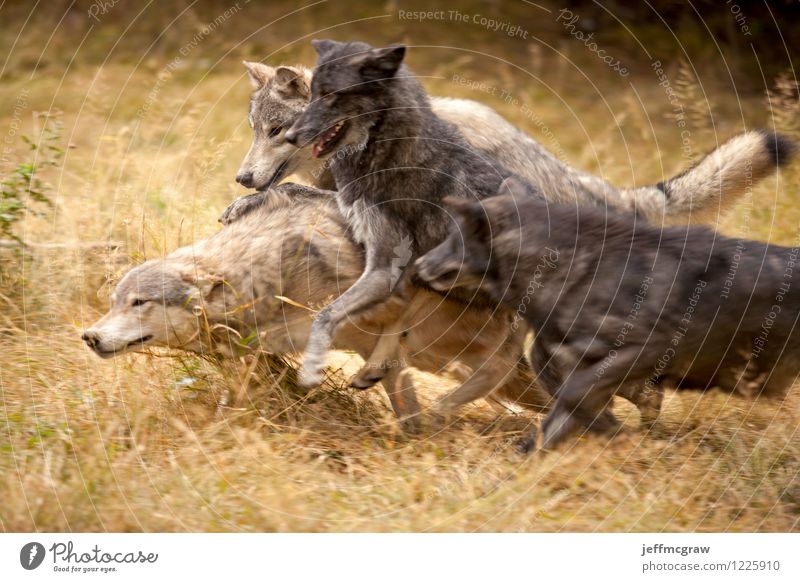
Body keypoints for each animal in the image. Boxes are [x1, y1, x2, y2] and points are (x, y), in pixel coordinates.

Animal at [83, 187, 552, 428]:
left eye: (139, 303)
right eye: (113, 303)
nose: (89, 336)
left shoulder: (388, 299)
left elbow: (390, 329)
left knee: (500, 364)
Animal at [416, 176, 800, 454]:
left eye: (454, 238)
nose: (418, 265)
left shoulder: (645, 350)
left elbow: (574, 399)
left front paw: (622, 434)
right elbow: (557, 420)